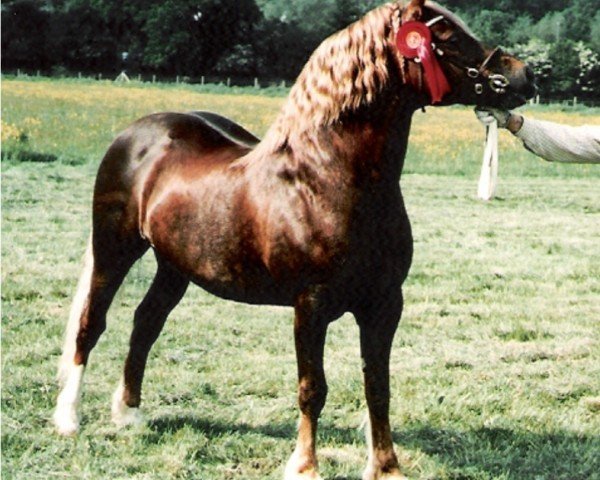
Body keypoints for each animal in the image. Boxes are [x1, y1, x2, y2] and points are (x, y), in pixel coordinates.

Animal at [54, 1, 536, 478]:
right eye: (447, 36)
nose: (522, 75)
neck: (326, 179)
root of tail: (135, 134)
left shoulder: (384, 304)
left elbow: (377, 386)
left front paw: (385, 467)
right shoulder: (311, 304)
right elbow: (312, 388)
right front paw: (305, 465)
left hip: (175, 265)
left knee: (146, 323)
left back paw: (129, 412)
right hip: (114, 250)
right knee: (91, 324)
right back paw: (68, 419)